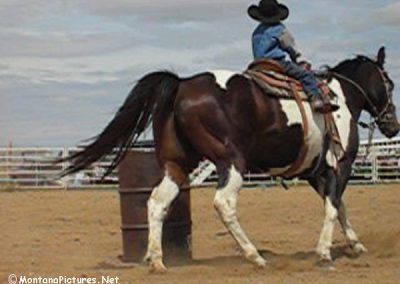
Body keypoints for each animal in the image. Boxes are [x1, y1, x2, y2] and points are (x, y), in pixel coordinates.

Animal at [61, 47, 398, 272]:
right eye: (390, 84)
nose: (392, 125)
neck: (340, 99)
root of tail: (181, 84)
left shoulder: (316, 173)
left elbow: (339, 206)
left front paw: (355, 244)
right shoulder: (341, 164)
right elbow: (333, 207)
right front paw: (325, 252)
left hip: (177, 164)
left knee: (157, 201)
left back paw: (156, 260)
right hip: (231, 161)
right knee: (224, 203)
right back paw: (254, 255)